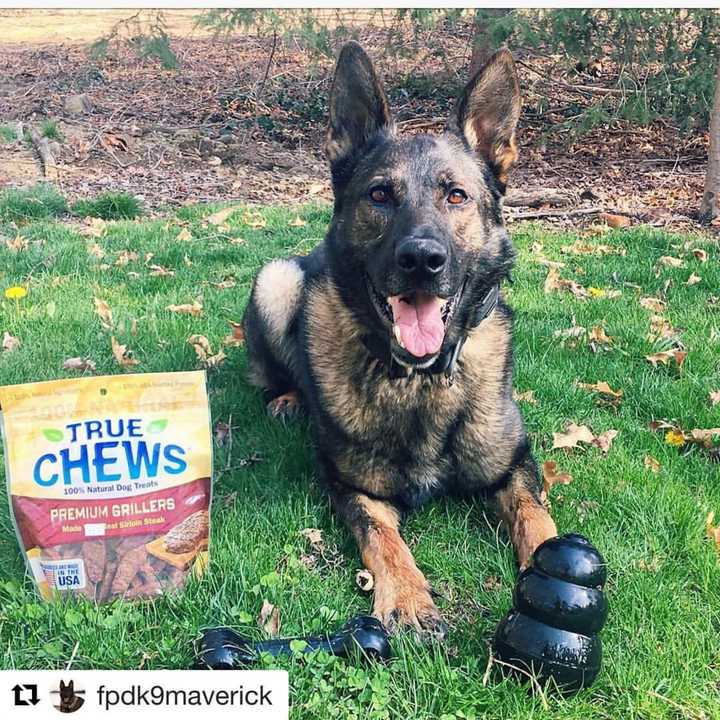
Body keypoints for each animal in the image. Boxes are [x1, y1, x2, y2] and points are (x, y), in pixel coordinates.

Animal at [242, 42, 556, 640]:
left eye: (456, 196)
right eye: (381, 195)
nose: (421, 260)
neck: (420, 379)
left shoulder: (516, 466)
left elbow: (539, 519)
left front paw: (559, 572)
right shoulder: (355, 489)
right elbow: (384, 540)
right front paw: (408, 598)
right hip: (277, 280)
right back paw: (287, 398)